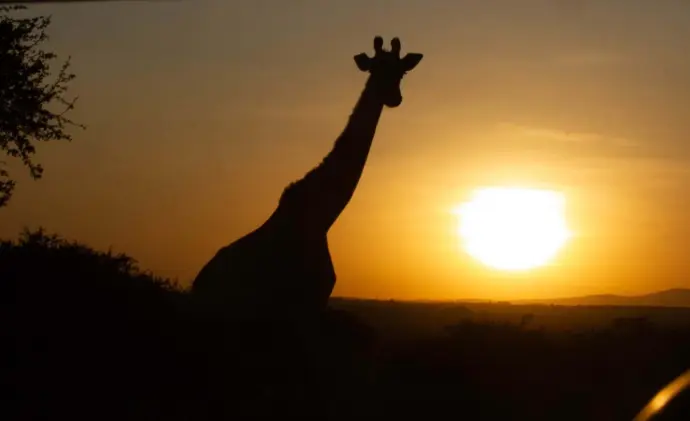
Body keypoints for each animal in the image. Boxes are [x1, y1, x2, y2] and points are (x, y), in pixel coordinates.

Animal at [192, 36, 423, 324]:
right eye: (375, 69)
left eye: (401, 72)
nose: (394, 97)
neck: (322, 218)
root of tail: (196, 289)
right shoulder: (305, 304)